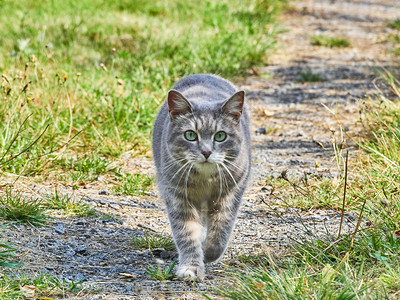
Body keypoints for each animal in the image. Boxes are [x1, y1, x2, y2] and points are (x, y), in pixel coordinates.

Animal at [152, 74, 252, 280]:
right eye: (190, 135)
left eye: (220, 136)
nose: (206, 152)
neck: (205, 179)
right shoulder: (178, 197)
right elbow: (187, 234)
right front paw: (191, 267)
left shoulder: (231, 192)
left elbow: (222, 228)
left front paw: (209, 252)